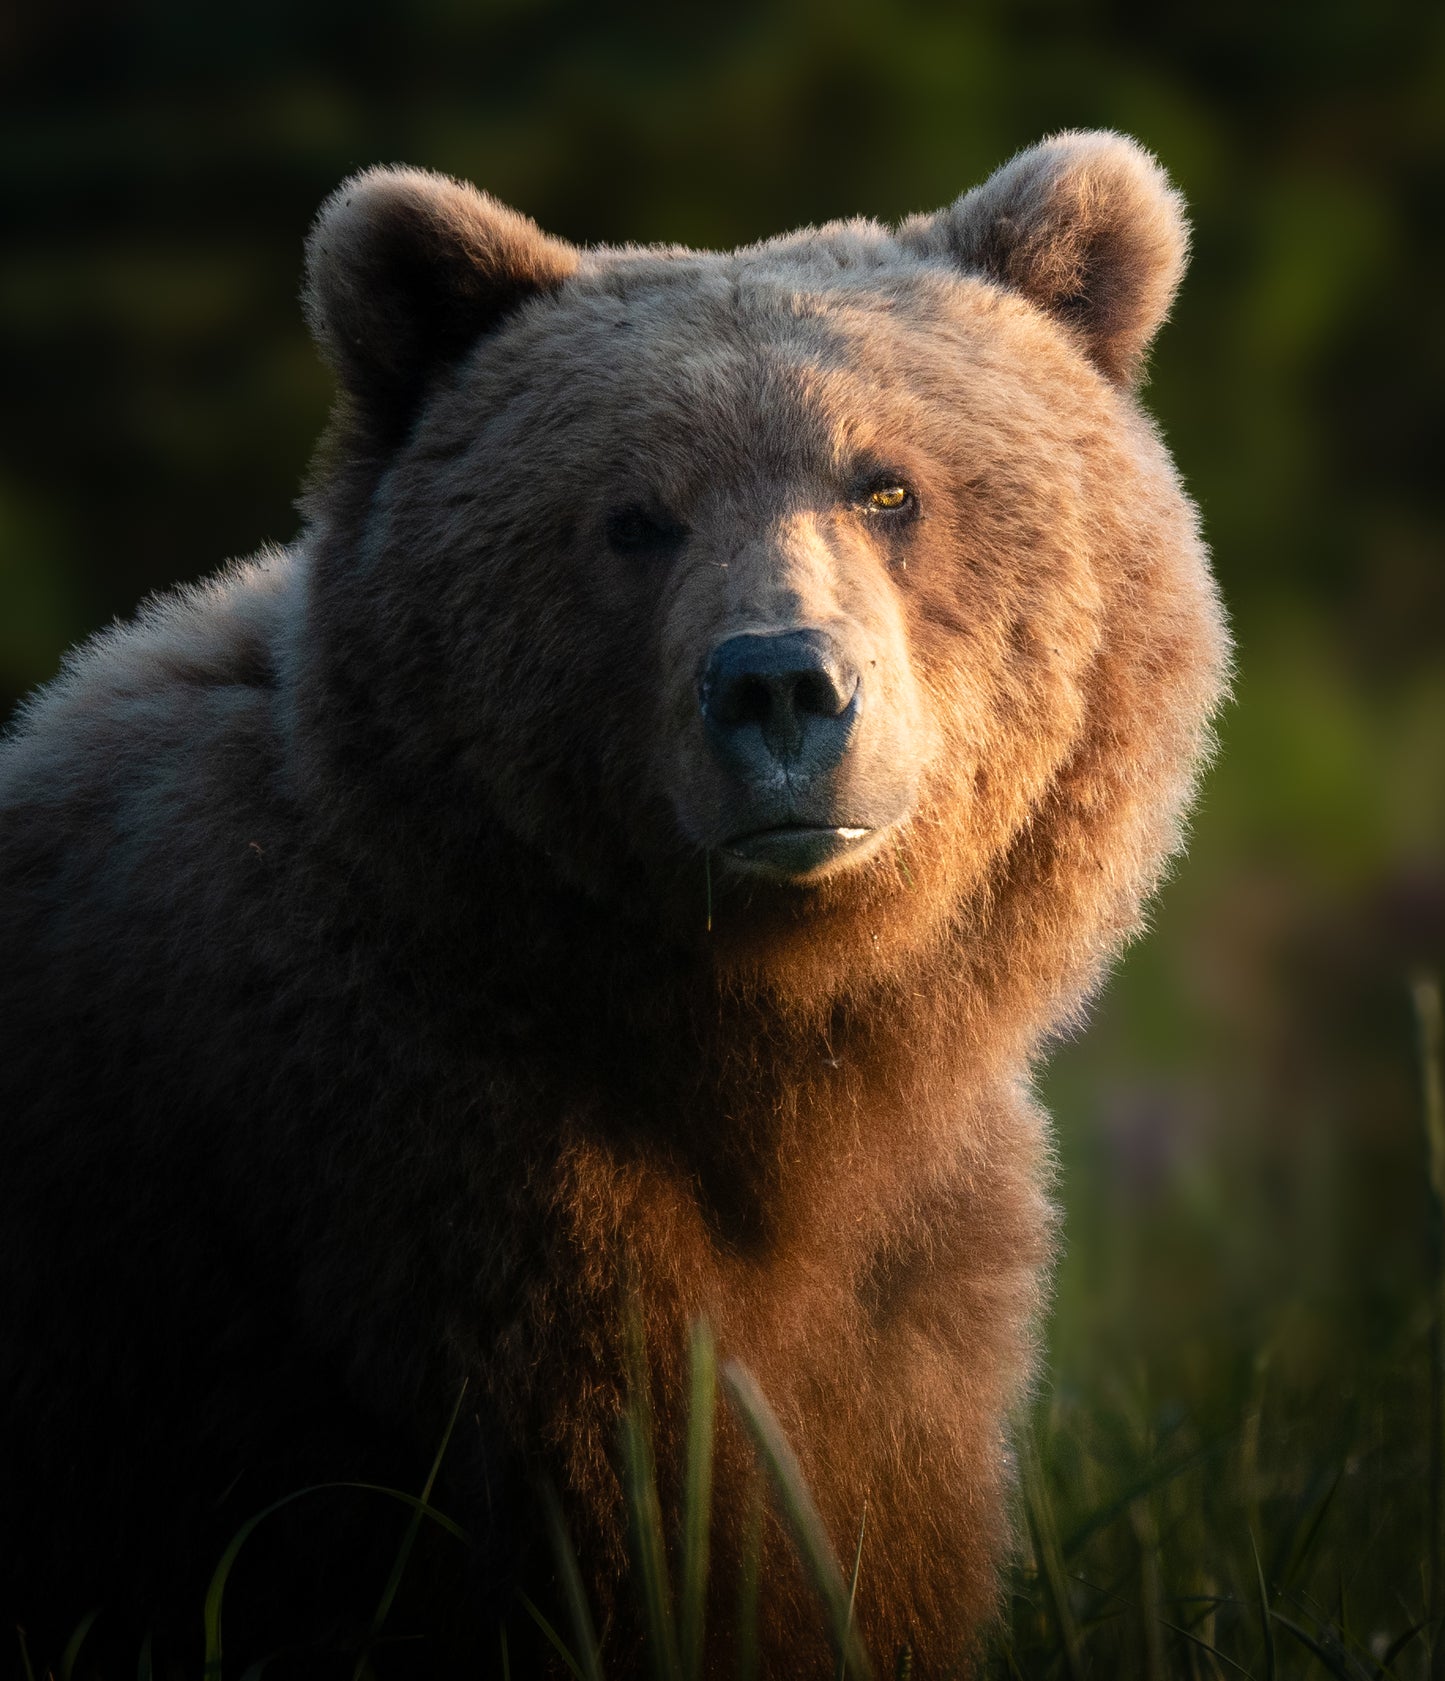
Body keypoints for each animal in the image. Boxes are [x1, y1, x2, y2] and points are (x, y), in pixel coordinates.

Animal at [0, 131, 1228, 1678]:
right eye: (635, 516)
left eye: (886, 485)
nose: (780, 684)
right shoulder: (442, 1190)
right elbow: (644, 1525)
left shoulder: (914, 1272)